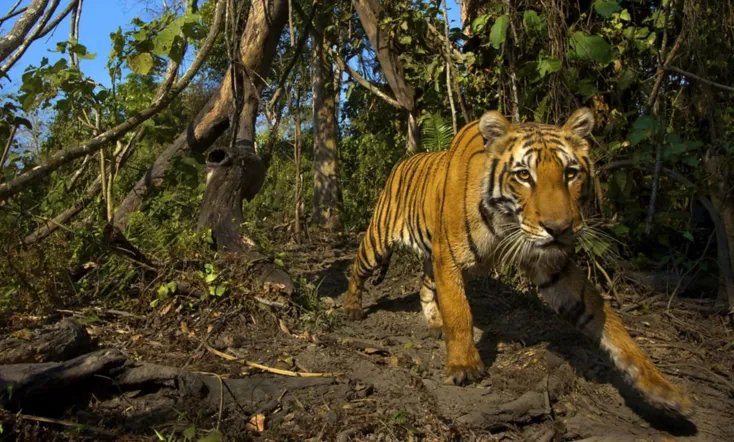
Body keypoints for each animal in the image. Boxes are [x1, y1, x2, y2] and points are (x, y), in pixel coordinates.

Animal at [342, 108, 691, 415]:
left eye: (571, 174)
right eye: (524, 176)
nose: (559, 228)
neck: (508, 223)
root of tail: (402, 162)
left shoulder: (550, 265)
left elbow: (606, 320)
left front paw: (660, 387)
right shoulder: (449, 257)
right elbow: (459, 312)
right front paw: (465, 366)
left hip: (429, 256)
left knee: (424, 285)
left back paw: (434, 323)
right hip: (379, 240)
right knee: (357, 268)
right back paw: (352, 308)